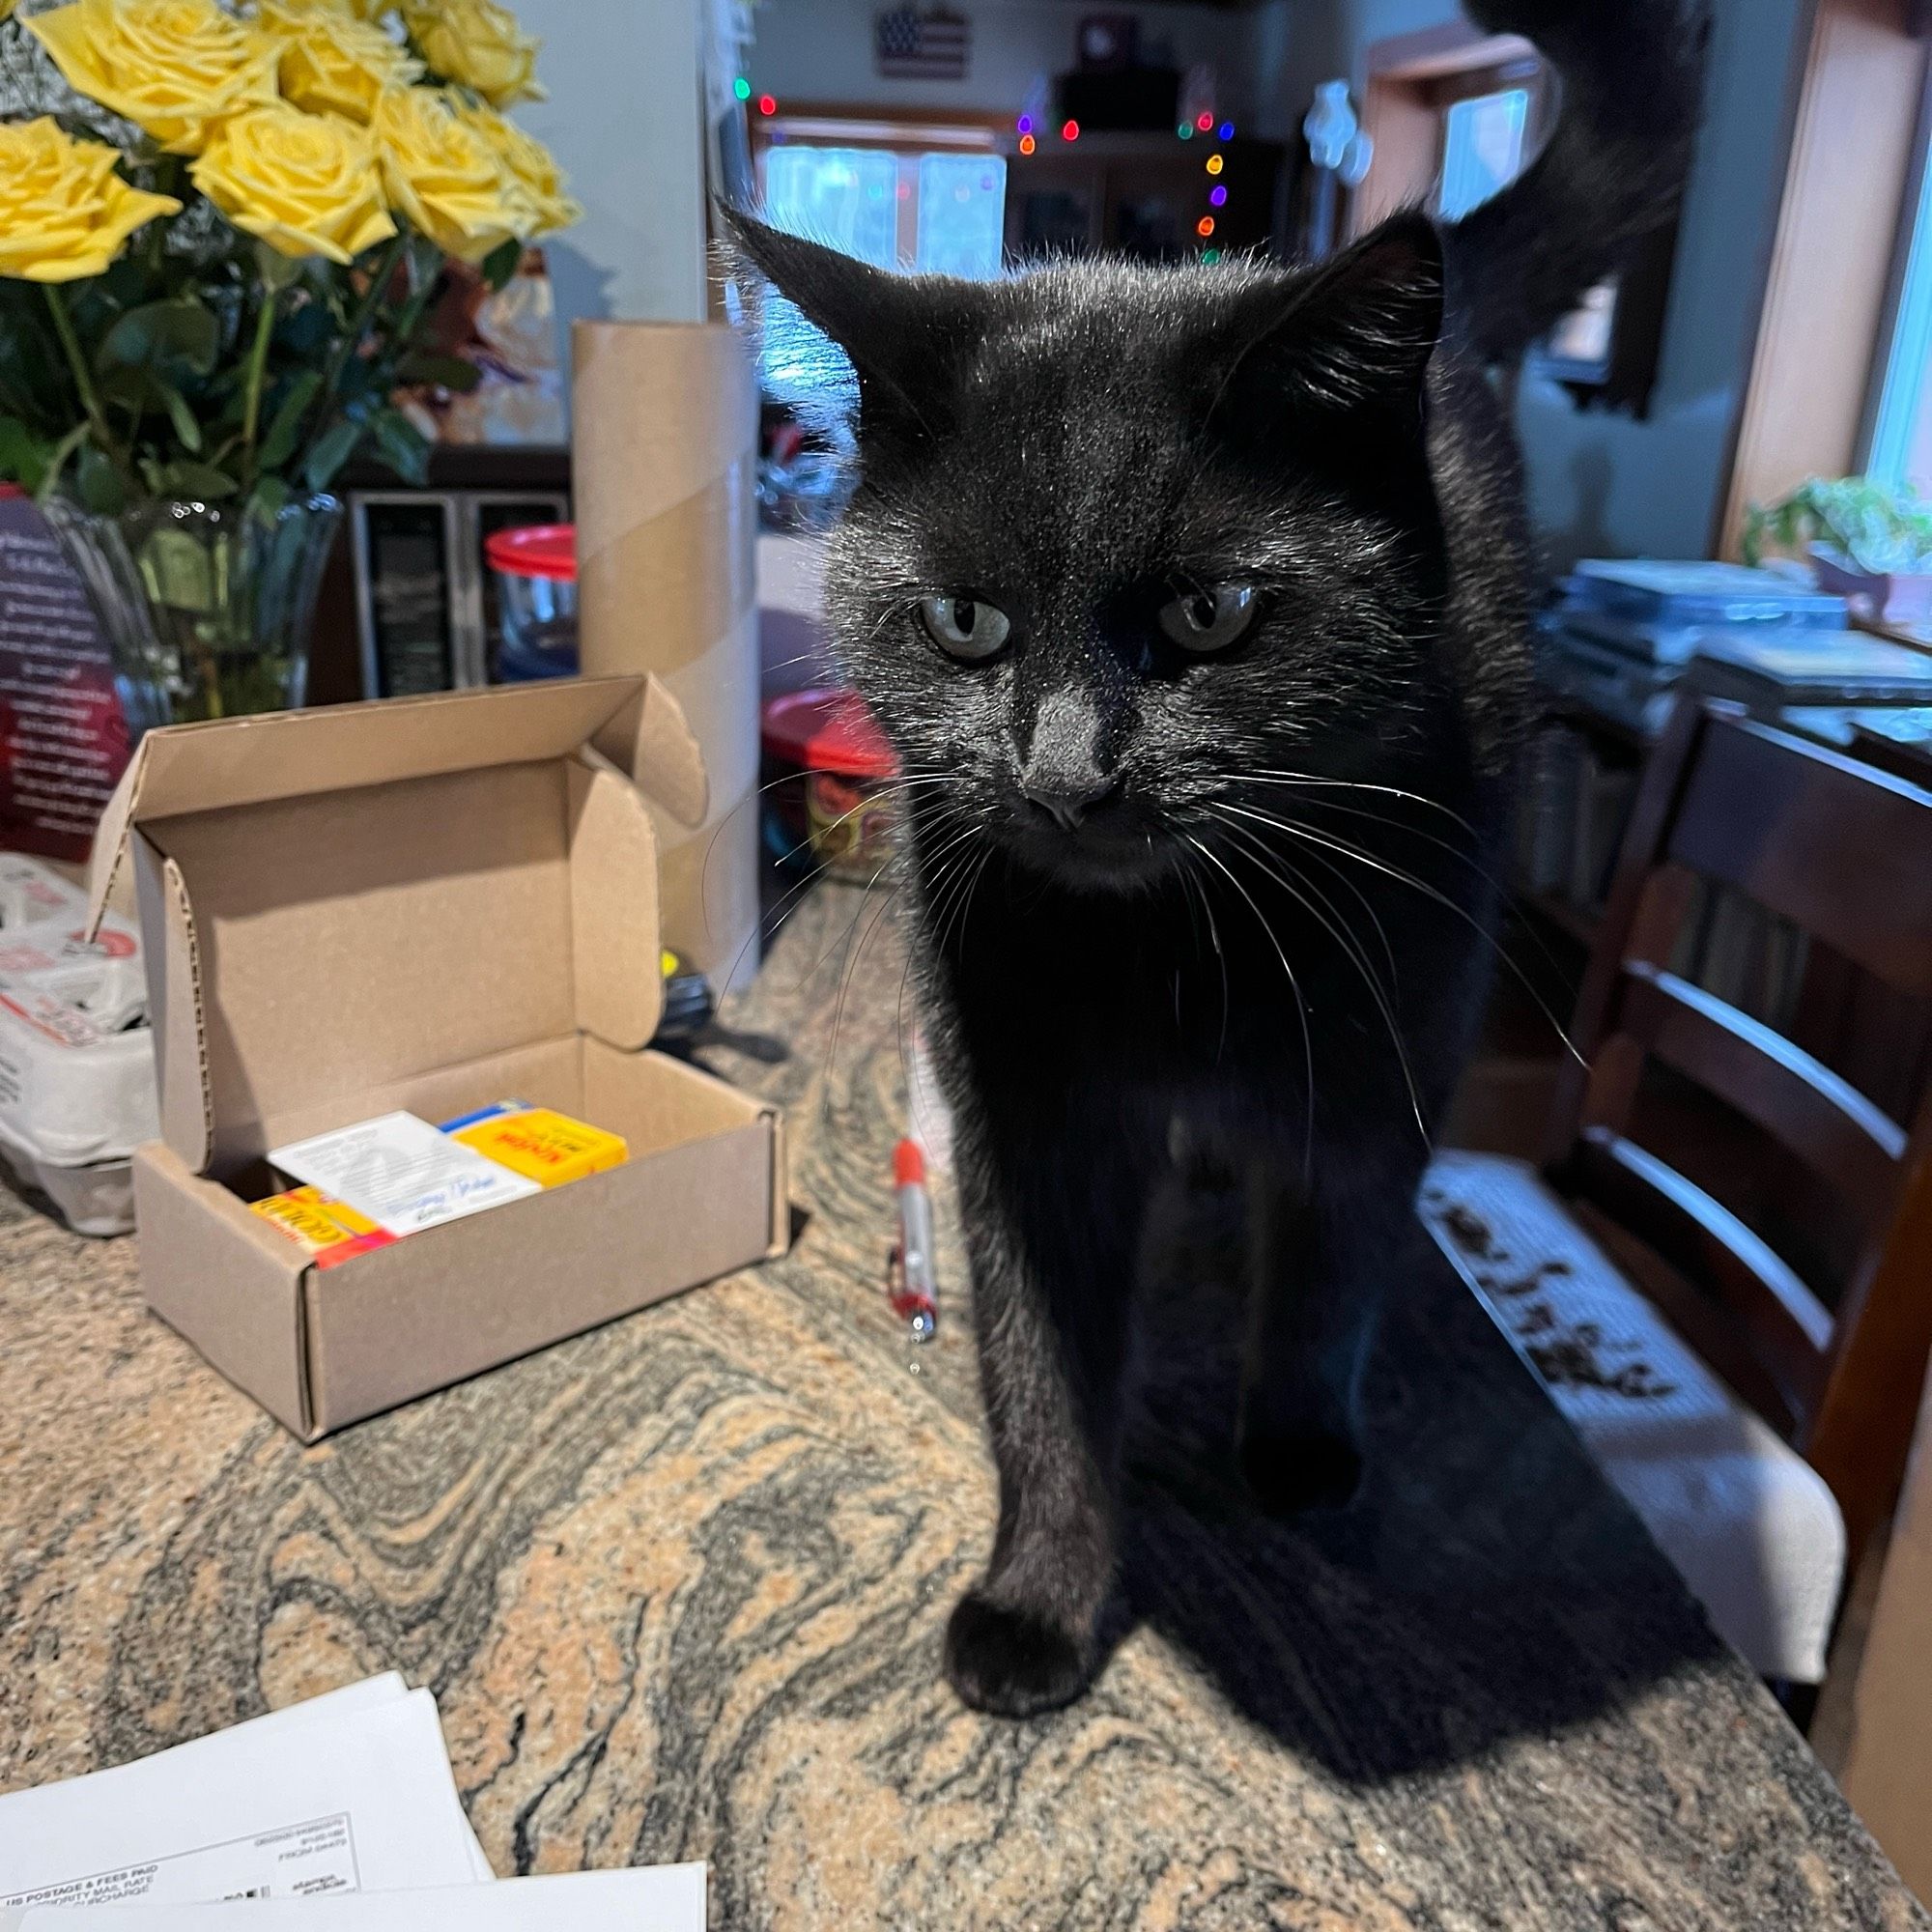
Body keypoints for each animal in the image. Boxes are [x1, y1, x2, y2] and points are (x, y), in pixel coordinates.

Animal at [734, 0, 1708, 1723]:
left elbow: (1330, 1261)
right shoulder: (1017, 1098)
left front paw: (1300, 1448)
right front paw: (1040, 1598)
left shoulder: (1384, 1049)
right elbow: (1039, 1364)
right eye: (964, 622)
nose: (1066, 771)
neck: (1169, 953)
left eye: (1212, 614)